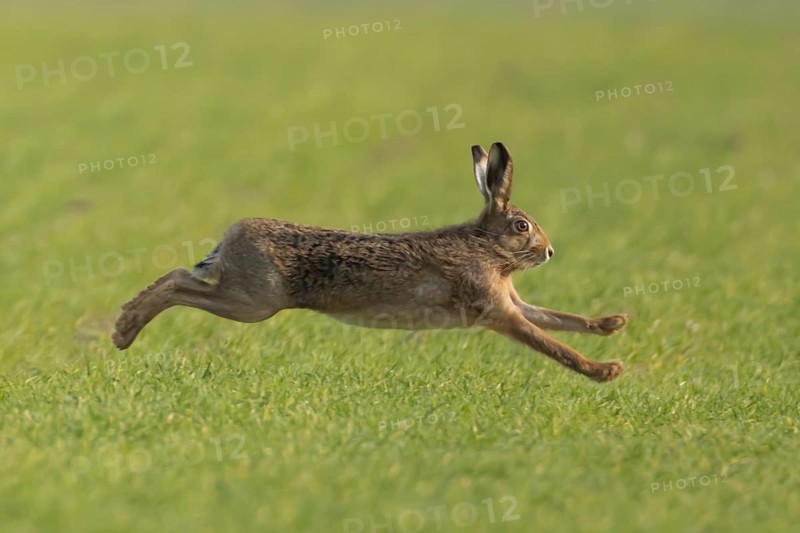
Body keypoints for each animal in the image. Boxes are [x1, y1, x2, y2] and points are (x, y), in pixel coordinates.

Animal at [113, 142, 628, 382]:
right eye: (522, 226)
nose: (549, 251)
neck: (487, 248)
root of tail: (231, 235)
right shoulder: (497, 310)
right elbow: (548, 342)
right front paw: (605, 372)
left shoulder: (512, 302)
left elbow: (557, 318)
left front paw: (612, 323)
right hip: (252, 302)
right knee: (178, 282)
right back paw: (123, 330)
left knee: (179, 278)